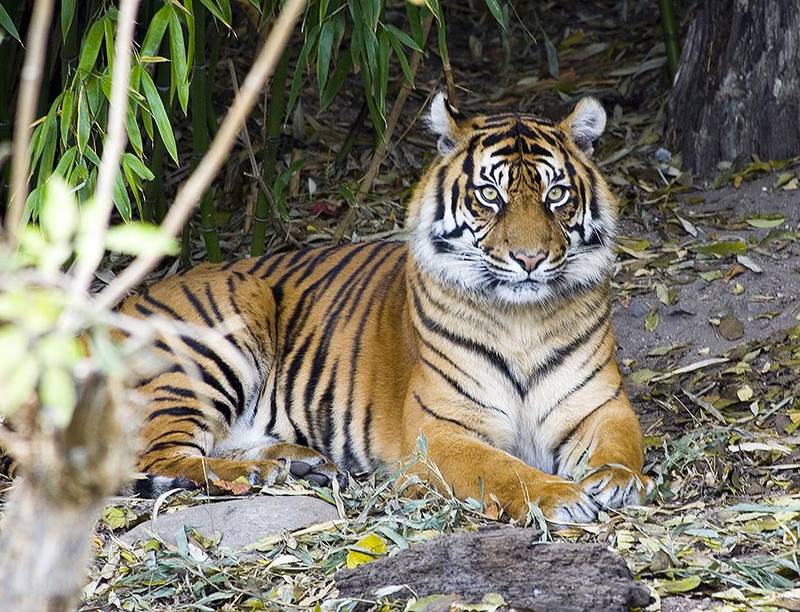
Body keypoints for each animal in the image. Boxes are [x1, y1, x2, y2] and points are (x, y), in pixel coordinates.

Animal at [115, 93, 648, 524]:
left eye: (555, 194)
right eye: (489, 195)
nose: (530, 259)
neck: (522, 323)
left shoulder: (601, 404)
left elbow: (624, 442)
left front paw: (617, 480)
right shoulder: (441, 431)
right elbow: (502, 469)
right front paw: (562, 496)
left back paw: (299, 461)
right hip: (221, 335)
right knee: (155, 457)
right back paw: (257, 473)